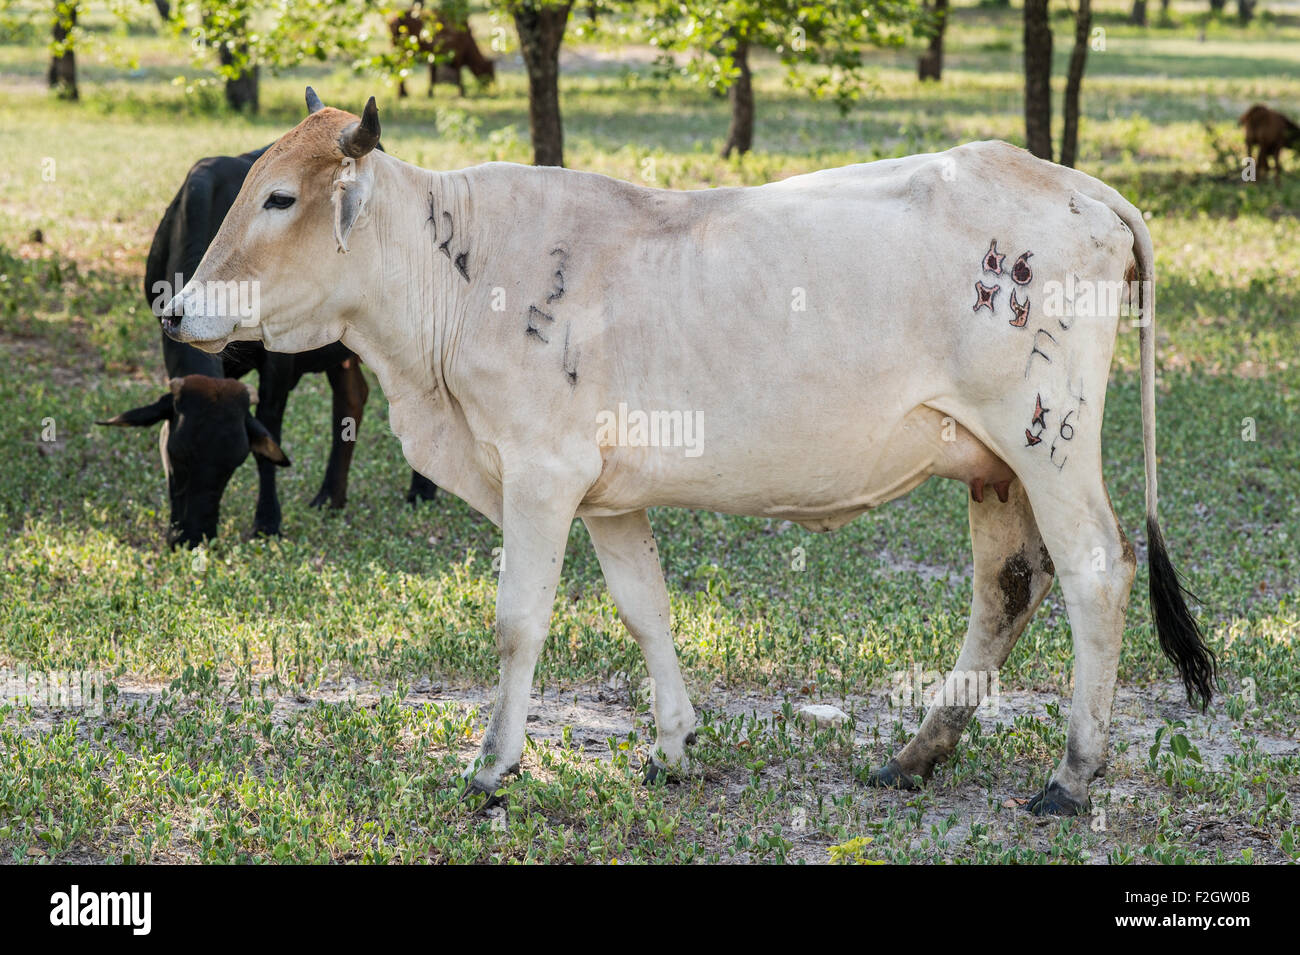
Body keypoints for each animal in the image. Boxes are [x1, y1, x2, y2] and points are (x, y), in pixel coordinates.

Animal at [101, 143, 436, 545]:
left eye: (231, 464)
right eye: (177, 456)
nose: (193, 536)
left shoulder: (277, 363)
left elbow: (269, 434)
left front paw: (267, 520)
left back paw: (422, 490)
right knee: (352, 397)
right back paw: (330, 497)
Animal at [167, 91, 1211, 815]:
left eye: (281, 197)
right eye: (251, 183)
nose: (177, 308)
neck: (453, 275)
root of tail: (1075, 185)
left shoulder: (541, 476)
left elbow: (518, 623)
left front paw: (493, 764)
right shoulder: (606, 496)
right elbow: (647, 611)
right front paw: (673, 746)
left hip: (1050, 440)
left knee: (1095, 572)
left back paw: (1072, 775)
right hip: (996, 462)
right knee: (1009, 584)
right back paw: (919, 752)